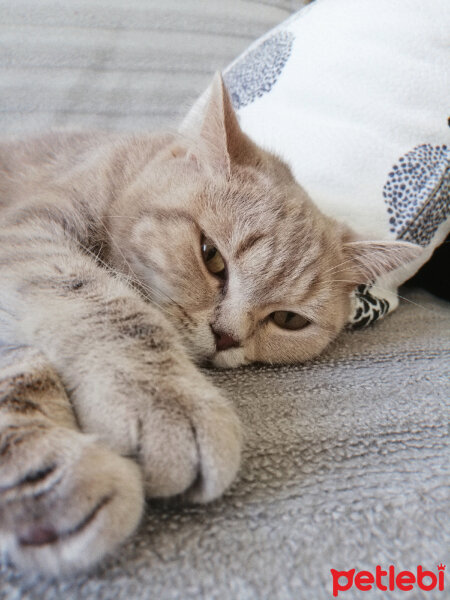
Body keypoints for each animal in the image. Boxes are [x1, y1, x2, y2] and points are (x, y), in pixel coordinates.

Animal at [0, 75, 420, 576]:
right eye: (211, 257)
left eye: (288, 319)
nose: (226, 336)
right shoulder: (31, 232)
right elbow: (106, 305)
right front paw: (164, 400)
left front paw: (44, 488)